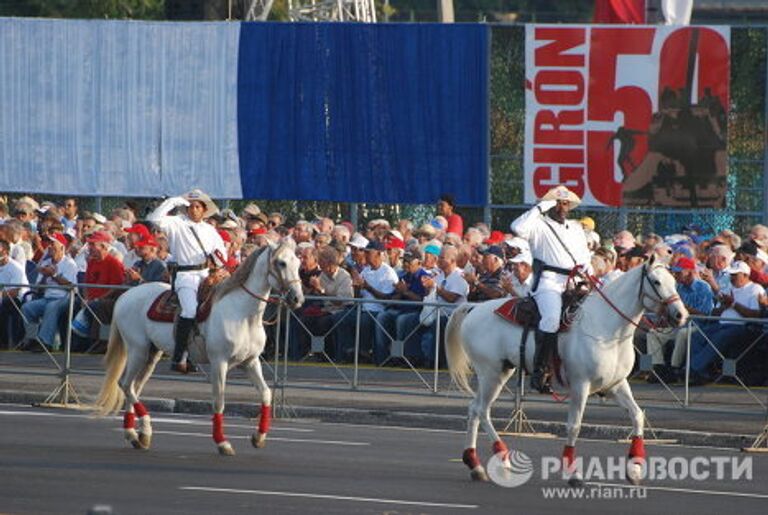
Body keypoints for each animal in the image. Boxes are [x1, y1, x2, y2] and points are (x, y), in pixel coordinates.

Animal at [93, 242, 304, 456]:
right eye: (281, 263)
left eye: (298, 262)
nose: (297, 298)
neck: (243, 314)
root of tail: (125, 296)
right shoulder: (219, 363)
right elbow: (219, 401)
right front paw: (222, 442)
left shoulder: (250, 362)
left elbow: (266, 394)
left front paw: (258, 437)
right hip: (138, 351)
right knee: (126, 385)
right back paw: (142, 429)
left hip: (151, 355)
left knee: (133, 387)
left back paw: (138, 435)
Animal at [444, 258, 688, 488]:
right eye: (656, 282)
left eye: (674, 282)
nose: (681, 315)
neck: (607, 328)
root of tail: (474, 308)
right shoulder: (581, 385)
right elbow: (574, 426)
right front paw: (573, 474)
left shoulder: (617, 384)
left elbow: (637, 416)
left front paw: (635, 469)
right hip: (491, 374)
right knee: (481, 410)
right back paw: (503, 460)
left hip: (499, 372)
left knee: (474, 409)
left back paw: (475, 464)